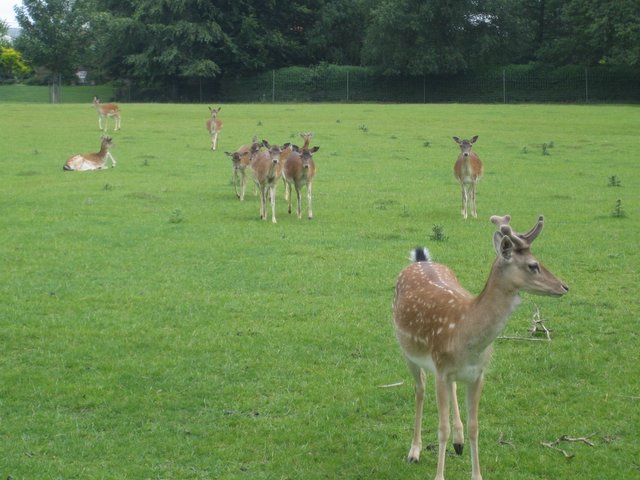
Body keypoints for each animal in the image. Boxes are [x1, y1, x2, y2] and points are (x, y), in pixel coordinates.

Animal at [392, 215, 568, 480]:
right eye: (533, 265)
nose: (564, 286)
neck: (466, 337)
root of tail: (419, 260)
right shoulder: (441, 371)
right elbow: (441, 428)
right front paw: (439, 475)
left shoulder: (478, 374)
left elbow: (475, 426)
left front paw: (477, 473)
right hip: (408, 352)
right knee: (420, 388)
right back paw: (414, 451)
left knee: (449, 388)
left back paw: (459, 441)